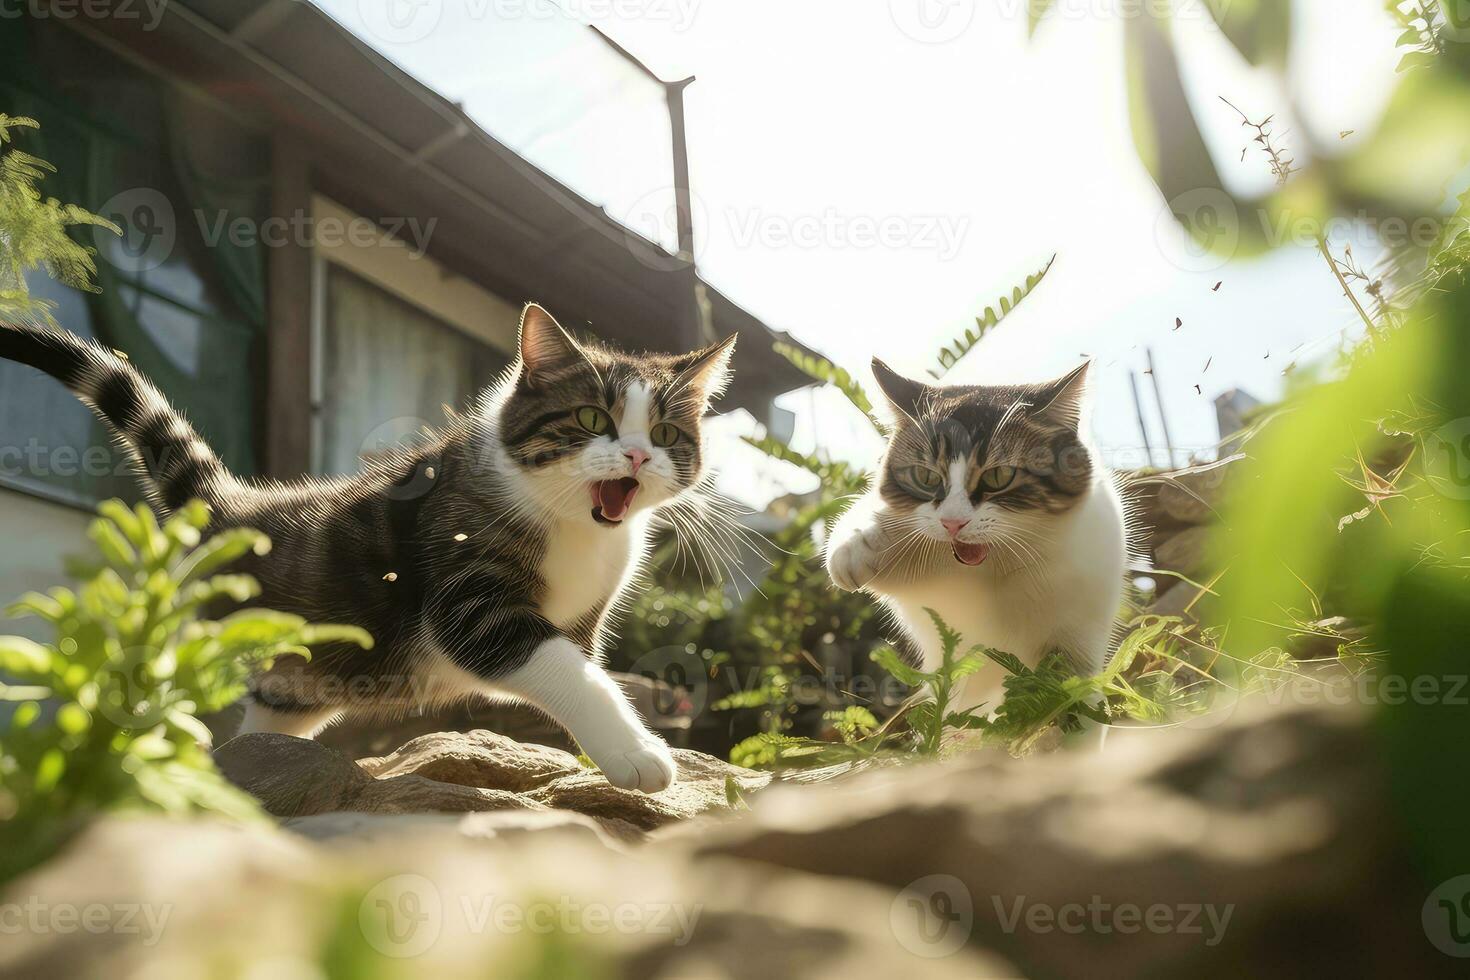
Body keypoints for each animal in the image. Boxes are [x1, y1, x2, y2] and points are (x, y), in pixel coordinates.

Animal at [0, 302, 735, 793]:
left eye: (667, 433)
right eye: (591, 418)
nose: (637, 455)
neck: (576, 528)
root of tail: (235, 509)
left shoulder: (584, 615)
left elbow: (587, 668)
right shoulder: (467, 594)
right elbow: (568, 672)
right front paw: (639, 754)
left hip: (295, 678)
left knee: (271, 717)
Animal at [829, 357, 1123, 717]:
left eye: (998, 476)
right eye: (926, 476)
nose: (952, 523)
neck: (993, 564)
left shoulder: (1074, 646)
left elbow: (1074, 703)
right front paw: (857, 542)